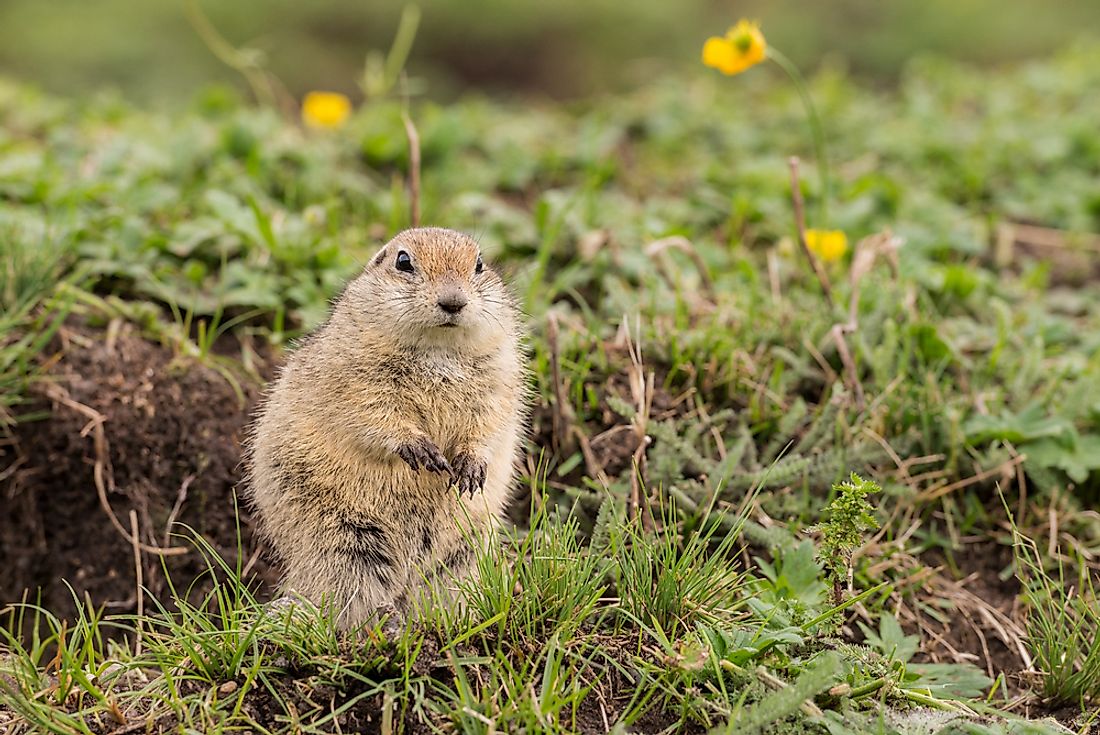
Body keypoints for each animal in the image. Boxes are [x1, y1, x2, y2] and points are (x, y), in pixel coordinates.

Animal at [246, 225, 528, 624]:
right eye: (403, 261)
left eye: (479, 264)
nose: (453, 302)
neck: (439, 349)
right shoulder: (357, 375)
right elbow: (374, 411)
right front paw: (422, 451)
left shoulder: (500, 375)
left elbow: (490, 422)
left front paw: (470, 469)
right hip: (342, 542)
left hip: (462, 556)